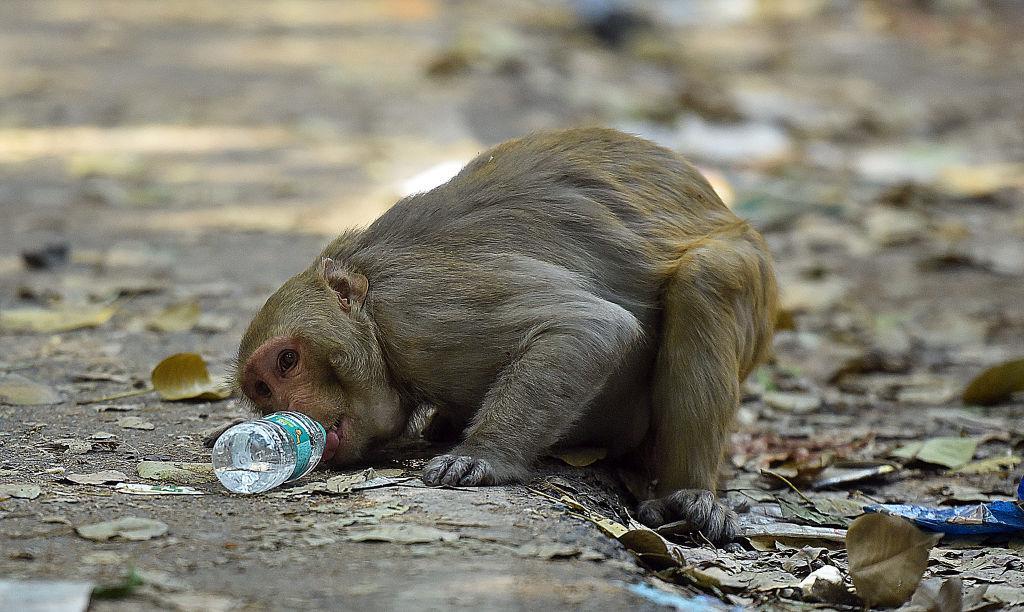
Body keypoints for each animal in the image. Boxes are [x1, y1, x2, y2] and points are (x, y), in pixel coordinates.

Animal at [234, 127, 777, 543]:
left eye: (287, 361)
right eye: (262, 390)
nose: (290, 410)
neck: (374, 318)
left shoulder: (423, 313)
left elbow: (592, 327)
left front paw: (483, 457)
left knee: (706, 278)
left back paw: (691, 495)